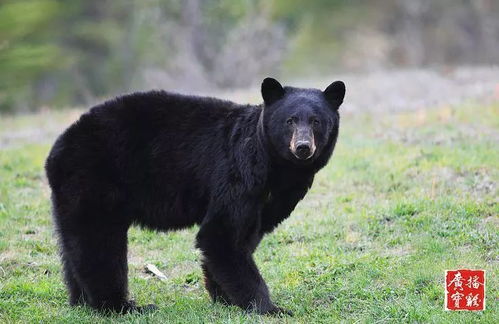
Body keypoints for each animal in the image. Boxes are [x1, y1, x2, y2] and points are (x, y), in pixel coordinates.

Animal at [45, 77, 346, 316]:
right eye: (290, 121)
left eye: (317, 121)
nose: (303, 147)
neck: (275, 168)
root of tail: (57, 150)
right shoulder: (238, 174)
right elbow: (221, 234)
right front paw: (269, 307)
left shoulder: (271, 200)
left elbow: (244, 237)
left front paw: (224, 297)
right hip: (95, 180)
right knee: (100, 244)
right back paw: (120, 306)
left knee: (75, 245)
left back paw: (80, 301)